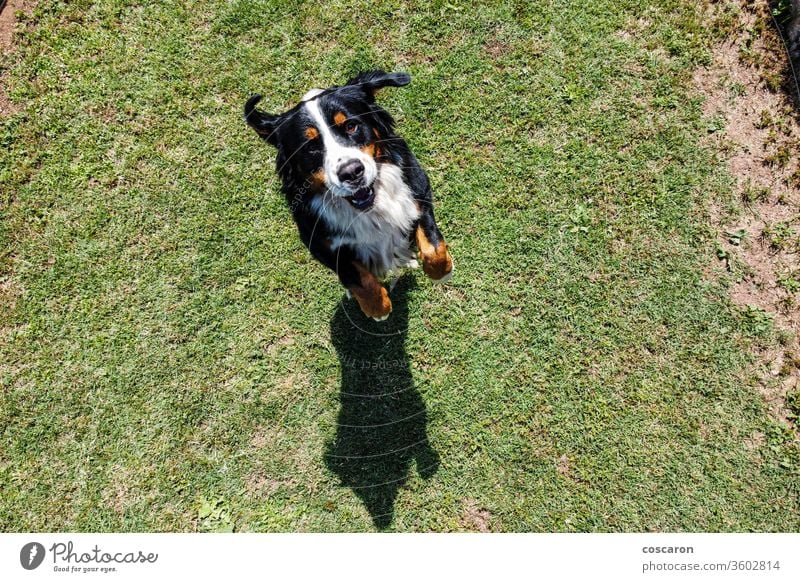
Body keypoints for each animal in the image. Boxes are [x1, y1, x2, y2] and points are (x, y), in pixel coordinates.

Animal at [244, 72, 454, 324]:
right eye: (310, 146)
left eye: (351, 126)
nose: (351, 172)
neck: (370, 210)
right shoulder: (319, 243)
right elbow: (357, 277)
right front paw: (378, 308)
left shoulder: (418, 189)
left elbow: (434, 246)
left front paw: (442, 272)